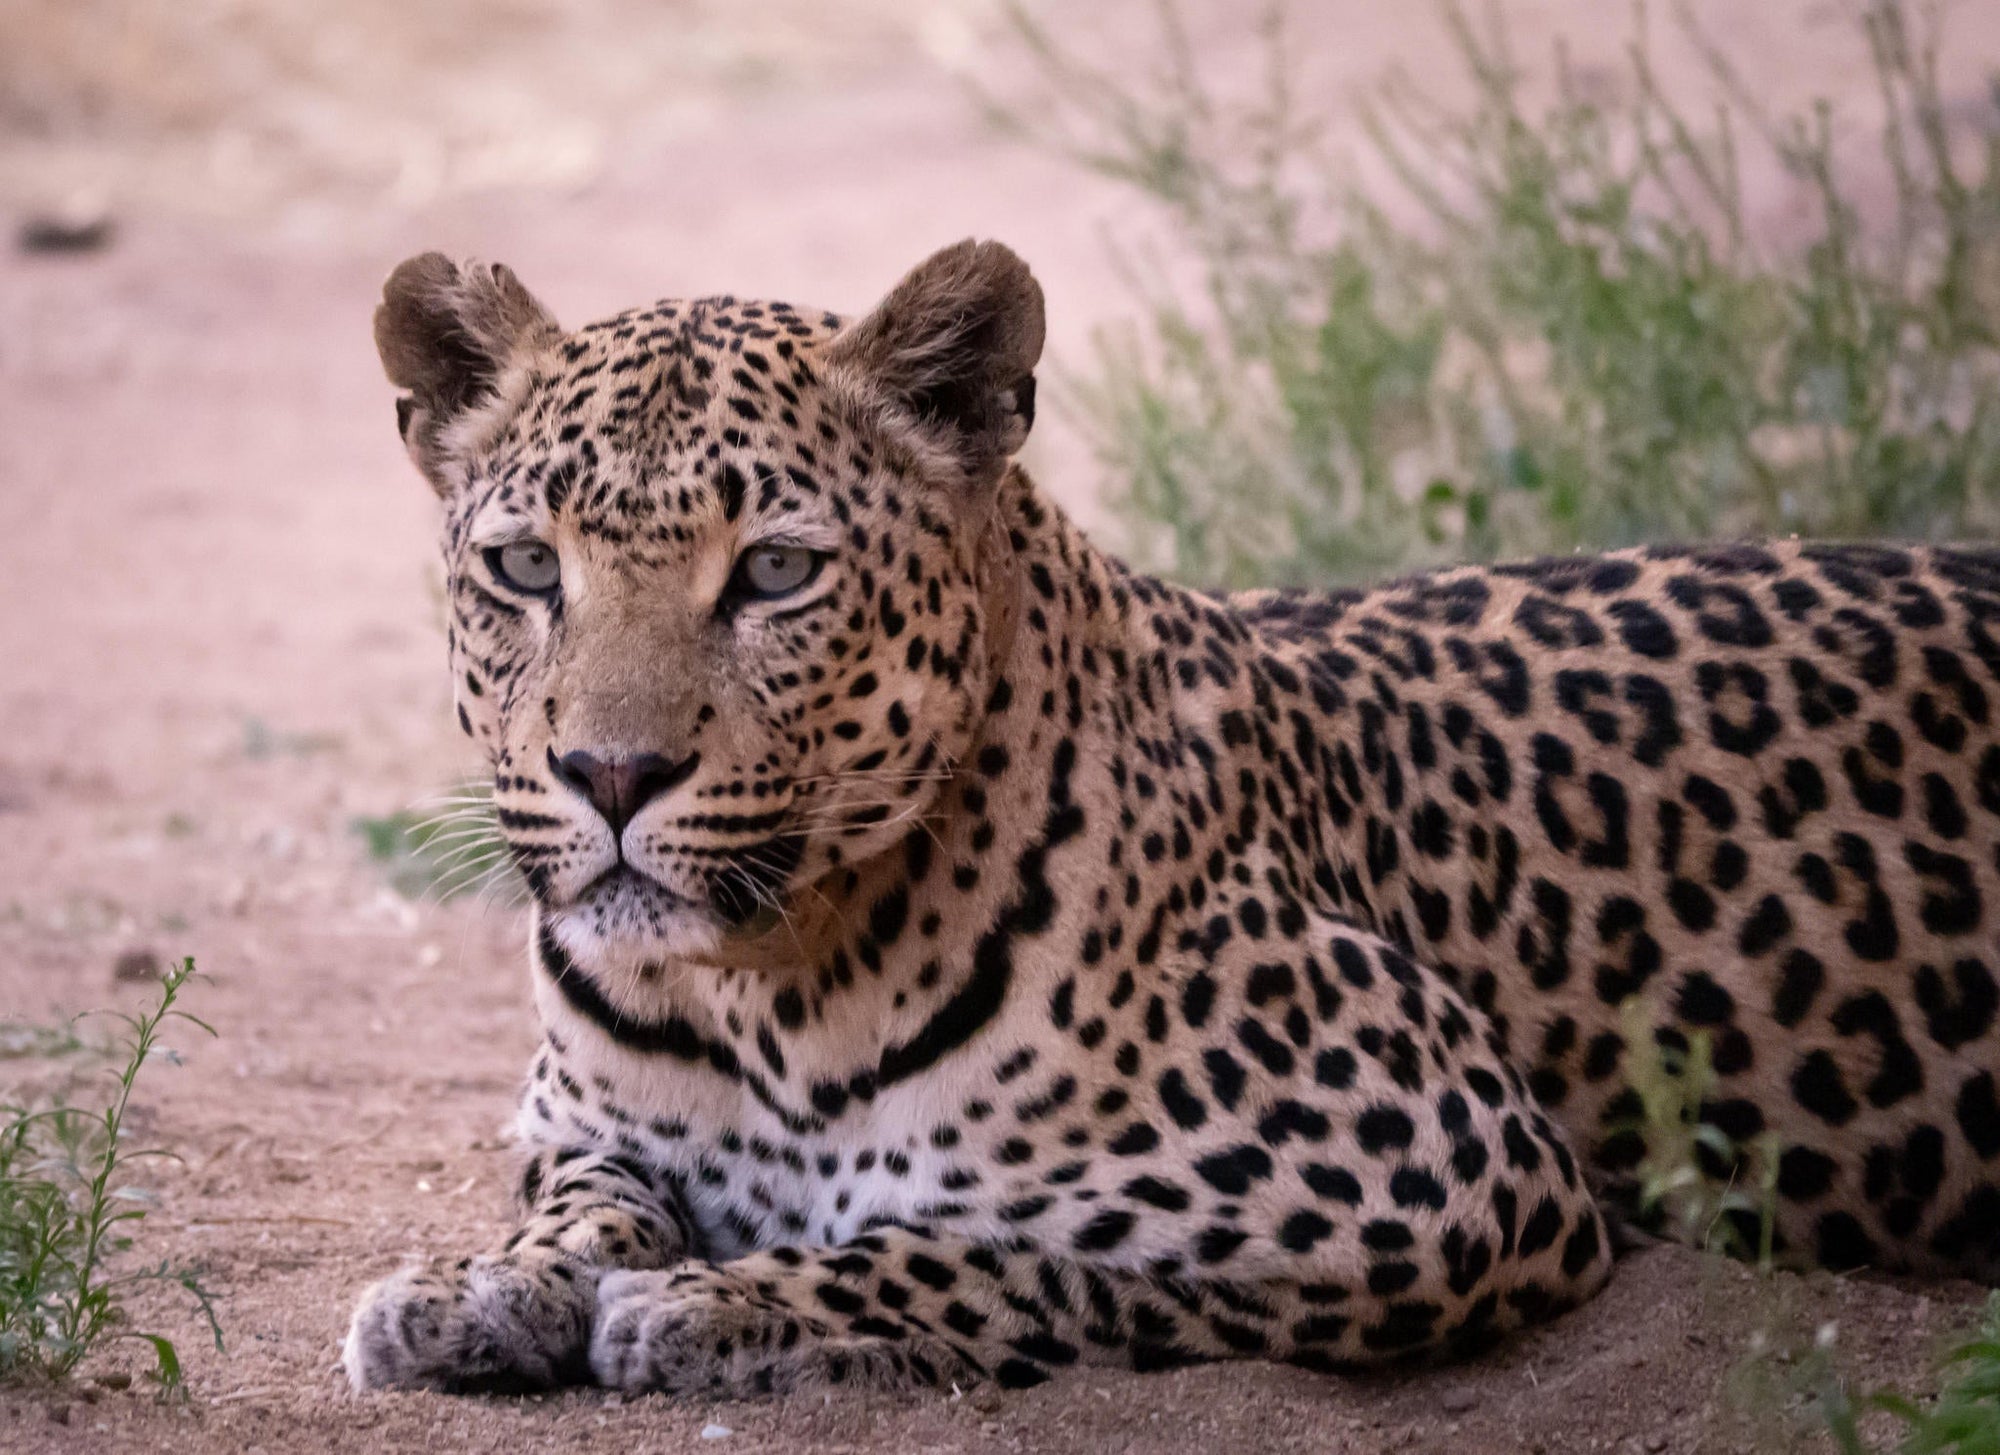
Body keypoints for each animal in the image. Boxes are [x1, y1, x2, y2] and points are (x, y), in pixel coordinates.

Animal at [344, 238, 2000, 1400]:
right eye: (528, 567)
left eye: (775, 573)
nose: (611, 774)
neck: (764, 989)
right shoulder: (581, 1124)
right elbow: (581, 1205)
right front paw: (480, 1289)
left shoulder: (1436, 1161)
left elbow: (998, 1246)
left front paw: (728, 1302)